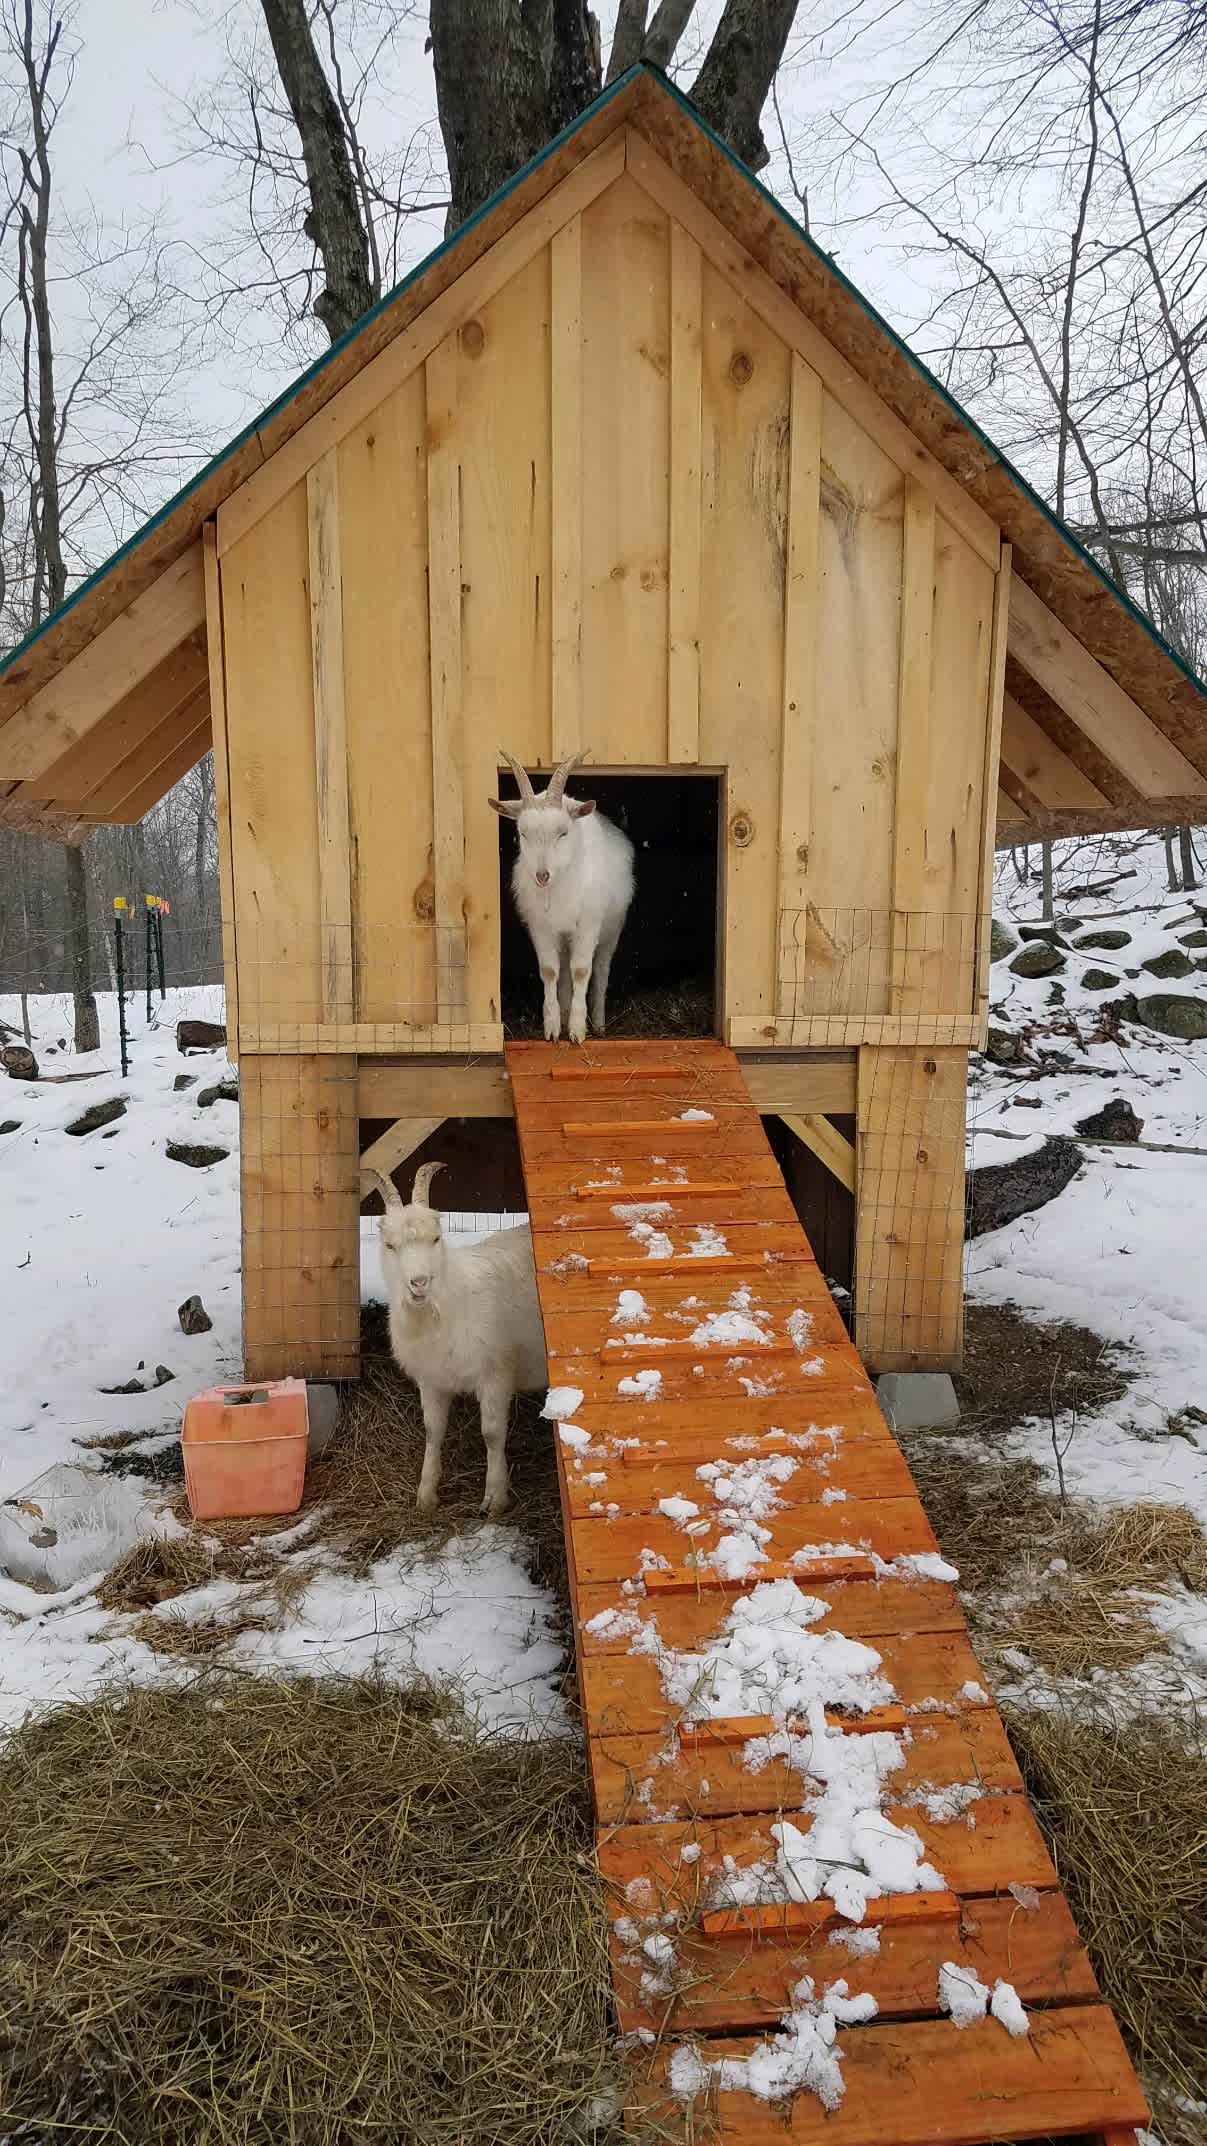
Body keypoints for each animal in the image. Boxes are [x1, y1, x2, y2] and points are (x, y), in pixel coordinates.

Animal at [369, 1167, 547, 1519]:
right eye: (389, 1245)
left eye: (436, 1239)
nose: (419, 1283)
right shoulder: (431, 1379)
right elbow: (433, 1430)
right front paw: (426, 1494)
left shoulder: (496, 1372)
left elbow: (492, 1433)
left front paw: (495, 1497)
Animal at [485, 751, 631, 1042]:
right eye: (523, 833)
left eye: (563, 832)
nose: (542, 875)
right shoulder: (541, 926)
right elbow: (550, 970)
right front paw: (553, 1028)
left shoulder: (588, 924)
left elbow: (582, 970)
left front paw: (577, 1030)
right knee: (563, 971)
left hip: (612, 927)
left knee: (601, 968)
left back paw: (599, 1023)